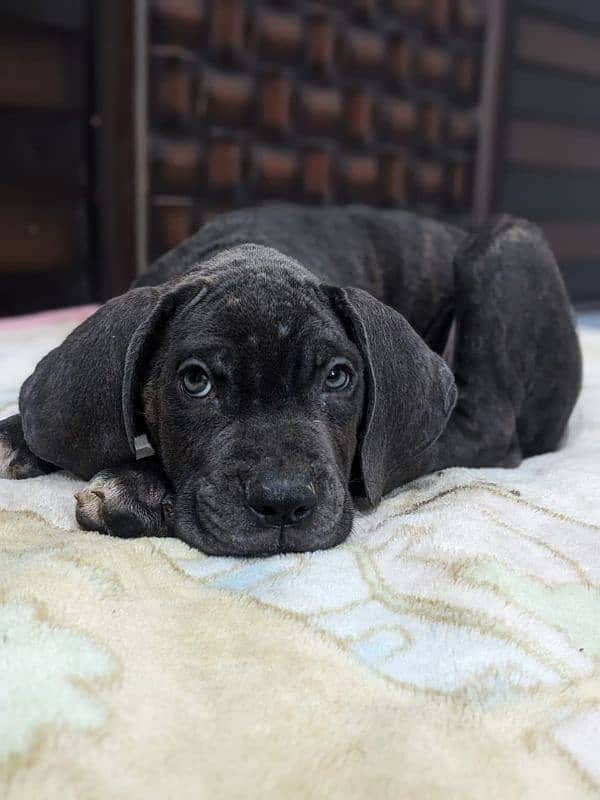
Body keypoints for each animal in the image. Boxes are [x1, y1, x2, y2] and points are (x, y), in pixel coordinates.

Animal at [0, 206, 580, 556]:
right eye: (196, 382)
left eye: (338, 378)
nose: (283, 502)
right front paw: (15, 435)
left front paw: (138, 485)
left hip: (501, 248)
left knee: (484, 430)